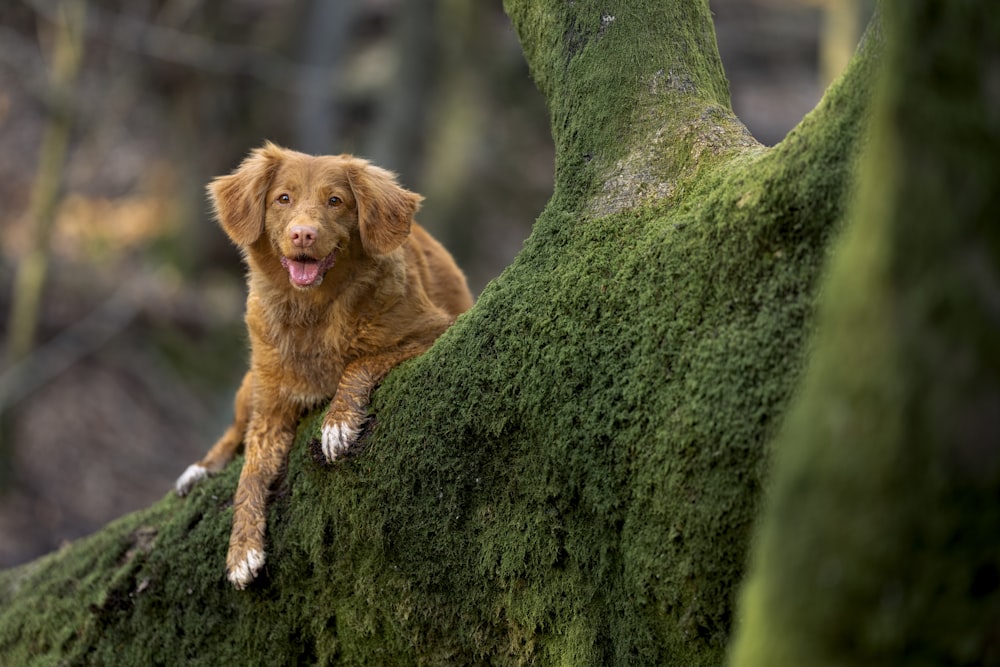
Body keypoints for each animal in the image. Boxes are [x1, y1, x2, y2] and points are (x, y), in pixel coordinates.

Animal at [176, 142, 472, 588]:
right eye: (283, 198)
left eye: (336, 201)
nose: (303, 233)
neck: (312, 311)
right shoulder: (271, 408)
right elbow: (250, 475)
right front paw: (241, 550)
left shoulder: (433, 329)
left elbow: (361, 361)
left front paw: (338, 422)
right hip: (251, 383)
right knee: (233, 431)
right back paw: (200, 469)